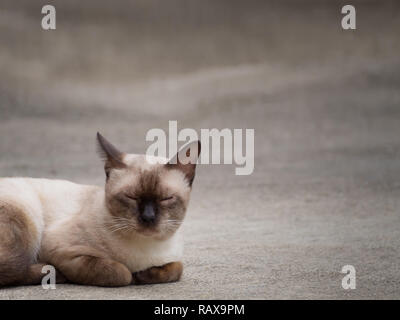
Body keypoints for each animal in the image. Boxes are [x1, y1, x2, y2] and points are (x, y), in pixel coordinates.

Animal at [0, 133, 200, 288]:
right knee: (12, 270)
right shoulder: (63, 250)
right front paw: (133, 276)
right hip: (27, 222)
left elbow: (177, 269)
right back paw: (55, 275)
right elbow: (122, 273)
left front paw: (144, 275)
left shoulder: (173, 260)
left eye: (166, 198)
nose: (148, 217)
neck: (147, 249)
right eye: (131, 197)